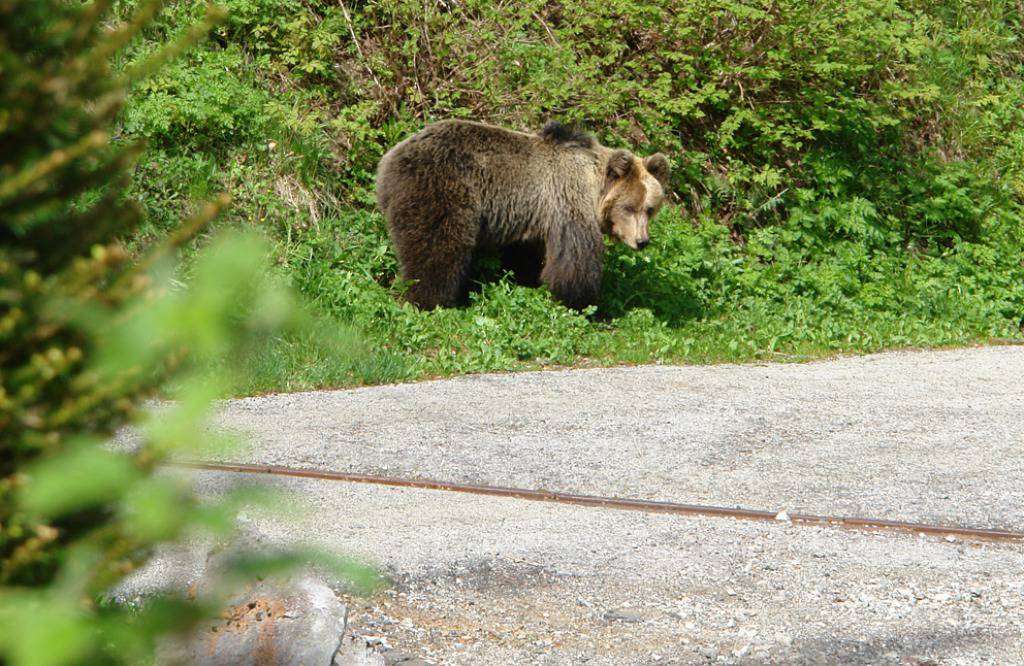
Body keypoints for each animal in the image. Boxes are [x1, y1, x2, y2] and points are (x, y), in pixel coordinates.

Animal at [376, 118, 671, 309]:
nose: (642, 241)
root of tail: (389, 159)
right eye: (629, 207)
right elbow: (575, 257)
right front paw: (582, 301)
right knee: (438, 246)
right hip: (442, 188)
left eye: (650, 208)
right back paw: (427, 299)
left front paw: (528, 281)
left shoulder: (530, 215)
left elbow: (524, 255)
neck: (594, 187)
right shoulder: (565, 201)